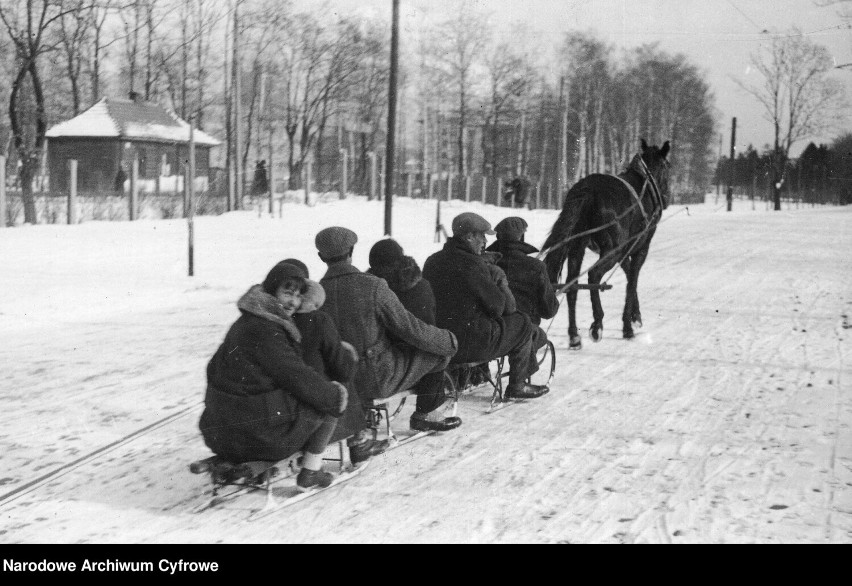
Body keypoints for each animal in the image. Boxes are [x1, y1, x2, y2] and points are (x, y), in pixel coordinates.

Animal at [540, 138, 672, 346]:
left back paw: (574, 335)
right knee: (594, 275)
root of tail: (589, 190)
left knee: (571, 285)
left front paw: (635, 315)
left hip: (578, 246)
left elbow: (628, 274)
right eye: (667, 166)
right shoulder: (639, 247)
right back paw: (597, 323)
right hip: (611, 249)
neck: (645, 183)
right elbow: (632, 280)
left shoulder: (624, 250)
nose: (666, 198)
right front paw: (627, 325)